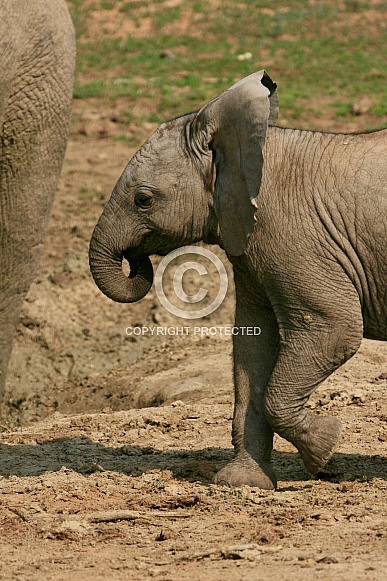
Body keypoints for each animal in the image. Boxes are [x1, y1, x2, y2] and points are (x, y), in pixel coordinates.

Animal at [88, 71, 387, 490]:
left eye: (143, 200)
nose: (134, 261)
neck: (250, 147)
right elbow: (252, 343)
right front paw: (242, 483)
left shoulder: (294, 239)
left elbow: (334, 330)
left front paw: (325, 451)